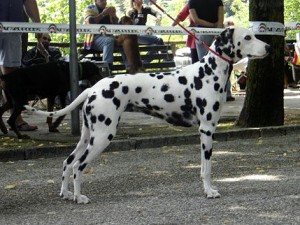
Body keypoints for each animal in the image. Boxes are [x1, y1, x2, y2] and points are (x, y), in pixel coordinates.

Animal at [25, 26, 270, 204]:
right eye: (248, 37)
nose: (268, 46)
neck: (208, 72)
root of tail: (93, 88)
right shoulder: (207, 131)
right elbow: (206, 168)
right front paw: (209, 192)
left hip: (88, 136)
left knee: (67, 162)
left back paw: (66, 194)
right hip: (103, 136)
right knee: (78, 166)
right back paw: (78, 197)